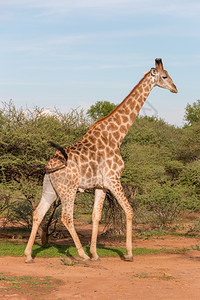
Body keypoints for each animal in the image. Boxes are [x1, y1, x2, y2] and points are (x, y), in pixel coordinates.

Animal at [24, 58, 177, 262]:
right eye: (164, 76)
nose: (175, 88)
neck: (117, 136)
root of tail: (49, 166)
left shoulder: (101, 185)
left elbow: (96, 215)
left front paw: (95, 253)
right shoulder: (113, 179)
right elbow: (129, 210)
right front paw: (128, 253)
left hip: (50, 189)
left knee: (38, 213)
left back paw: (28, 255)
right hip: (68, 189)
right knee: (66, 217)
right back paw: (82, 254)